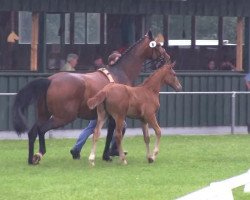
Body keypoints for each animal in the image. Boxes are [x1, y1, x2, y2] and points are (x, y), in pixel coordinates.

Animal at [12, 30, 171, 164]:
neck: (120, 72)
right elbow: (113, 133)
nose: (167, 57)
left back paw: (31, 159)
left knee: (32, 132)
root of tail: (50, 80)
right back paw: (40, 153)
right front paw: (108, 155)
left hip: (44, 114)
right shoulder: (116, 115)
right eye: (157, 45)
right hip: (63, 117)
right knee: (42, 130)